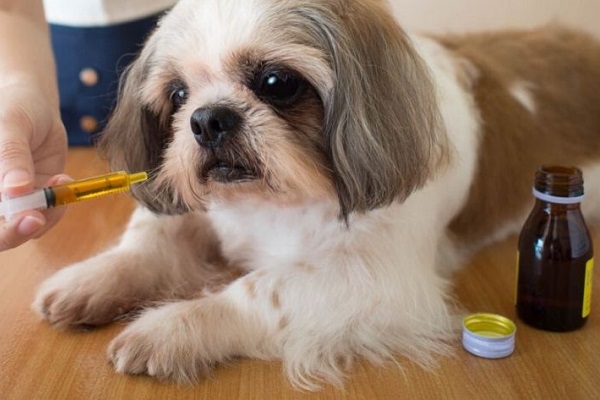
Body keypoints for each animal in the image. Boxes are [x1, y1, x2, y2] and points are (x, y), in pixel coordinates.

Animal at [31, 0, 600, 390]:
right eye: (177, 94)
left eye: (276, 82)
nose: (207, 118)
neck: (274, 203)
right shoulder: (198, 213)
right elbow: (150, 243)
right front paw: (95, 279)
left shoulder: (377, 280)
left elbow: (261, 289)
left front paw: (170, 328)